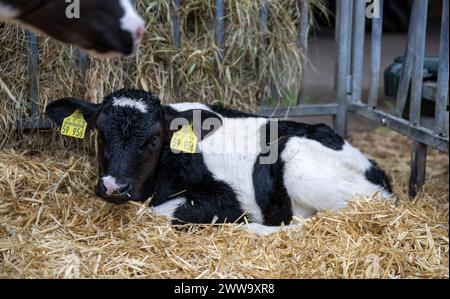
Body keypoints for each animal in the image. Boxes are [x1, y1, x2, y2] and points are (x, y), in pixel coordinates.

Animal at [44, 89, 392, 237]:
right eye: (100, 133)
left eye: (154, 138)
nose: (114, 185)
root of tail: (380, 174)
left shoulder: (225, 200)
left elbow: (168, 214)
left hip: (300, 165)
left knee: (307, 223)